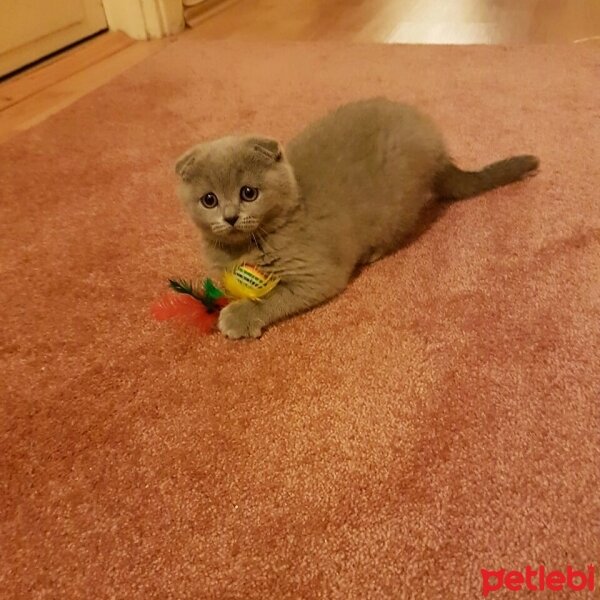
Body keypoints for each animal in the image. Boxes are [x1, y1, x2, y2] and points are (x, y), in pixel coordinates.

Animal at [175, 97, 540, 338]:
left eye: (249, 193)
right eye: (209, 200)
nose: (230, 217)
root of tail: (440, 150)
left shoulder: (318, 273)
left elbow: (274, 296)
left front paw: (239, 317)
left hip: (397, 203)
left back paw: (374, 252)